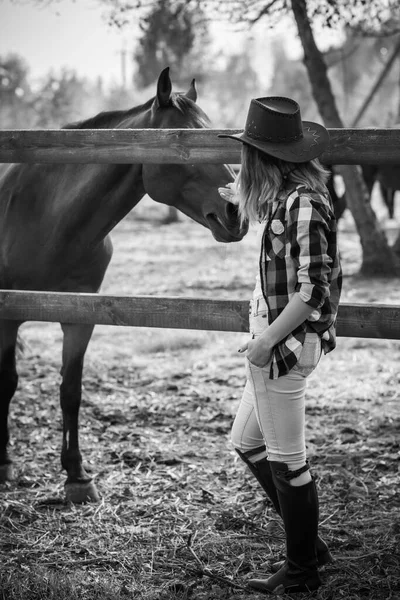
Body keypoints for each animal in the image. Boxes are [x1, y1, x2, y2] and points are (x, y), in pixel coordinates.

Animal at [0, 68, 248, 504]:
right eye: (184, 143)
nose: (234, 212)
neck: (50, 219)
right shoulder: (8, 316)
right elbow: (8, 383)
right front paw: (5, 461)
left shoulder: (80, 315)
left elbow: (71, 390)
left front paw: (77, 475)